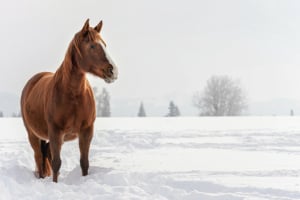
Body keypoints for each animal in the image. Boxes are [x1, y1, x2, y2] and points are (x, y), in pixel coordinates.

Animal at [20, 19, 117, 182]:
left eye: (105, 44)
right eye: (92, 46)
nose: (113, 71)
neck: (73, 95)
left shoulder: (86, 131)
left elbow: (84, 162)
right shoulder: (55, 131)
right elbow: (56, 163)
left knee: (46, 153)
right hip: (33, 135)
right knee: (39, 158)